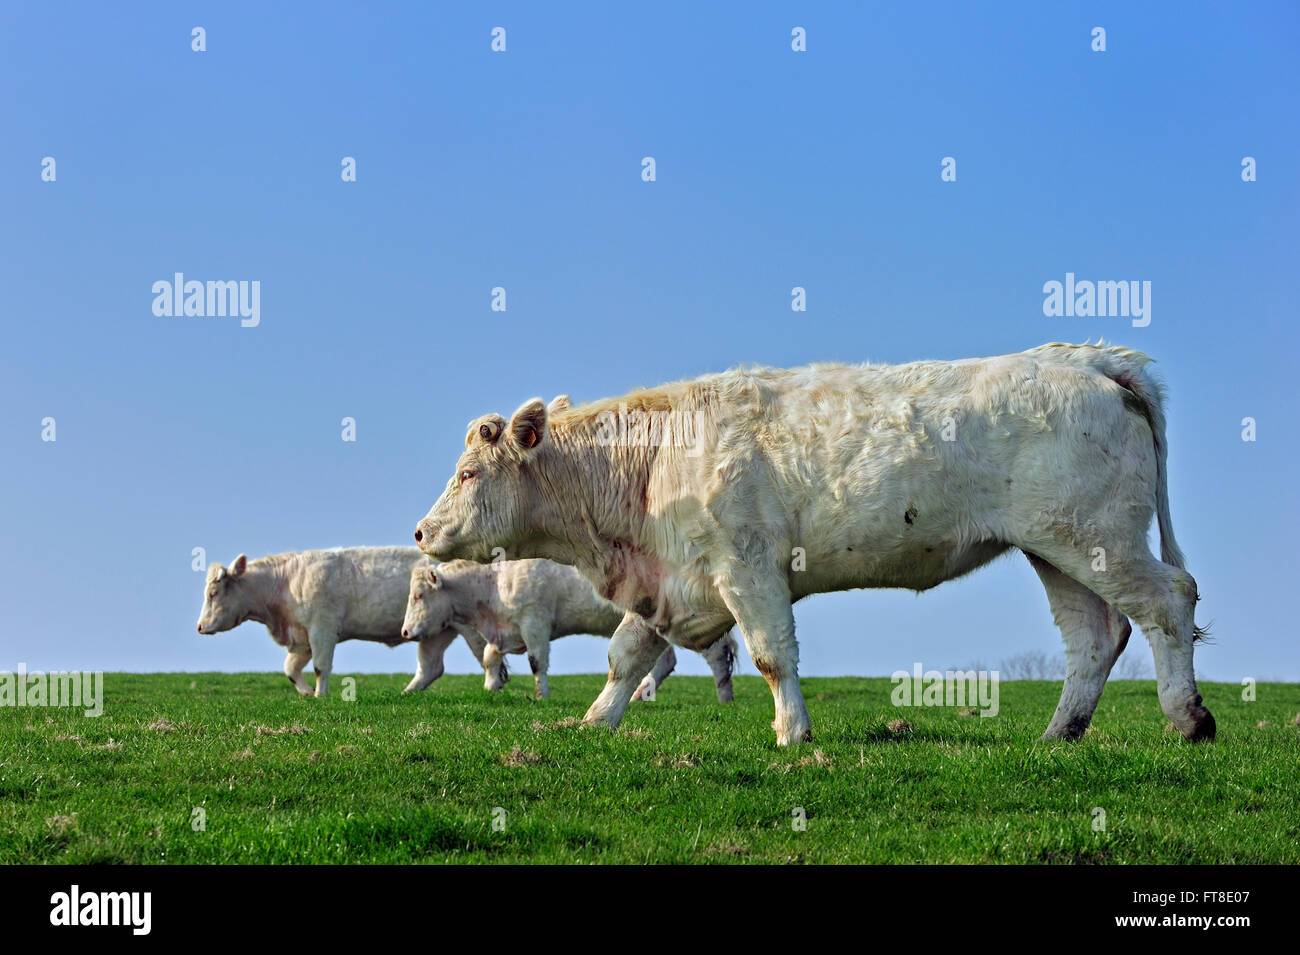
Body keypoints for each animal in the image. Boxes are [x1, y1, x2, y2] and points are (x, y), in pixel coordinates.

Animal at [195, 548, 488, 696]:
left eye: (213, 593)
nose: (199, 626)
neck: (286, 582)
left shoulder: (322, 629)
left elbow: (320, 667)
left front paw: (320, 695)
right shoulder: (302, 638)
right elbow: (290, 669)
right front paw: (305, 693)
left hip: (472, 628)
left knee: (485, 655)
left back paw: (492, 687)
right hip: (435, 631)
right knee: (430, 668)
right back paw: (406, 693)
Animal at [400, 553, 738, 701]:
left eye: (418, 595)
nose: (405, 631)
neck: (495, 583)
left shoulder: (534, 622)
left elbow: (537, 663)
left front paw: (542, 696)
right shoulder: (506, 630)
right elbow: (490, 656)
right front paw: (493, 685)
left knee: (719, 658)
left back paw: (725, 700)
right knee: (664, 661)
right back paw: (639, 694)